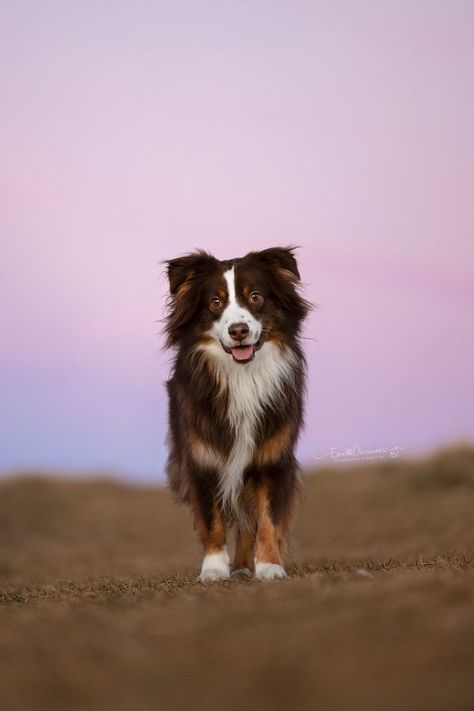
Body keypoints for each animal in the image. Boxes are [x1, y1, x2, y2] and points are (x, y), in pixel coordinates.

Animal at [165, 248, 310, 580]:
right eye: (215, 302)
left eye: (255, 296)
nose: (239, 331)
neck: (242, 376)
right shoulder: (203, 458)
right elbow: (212, 520)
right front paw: (213, 569)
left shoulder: (272, 457)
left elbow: (268, 518)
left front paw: (270, 567)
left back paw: (245, 566)